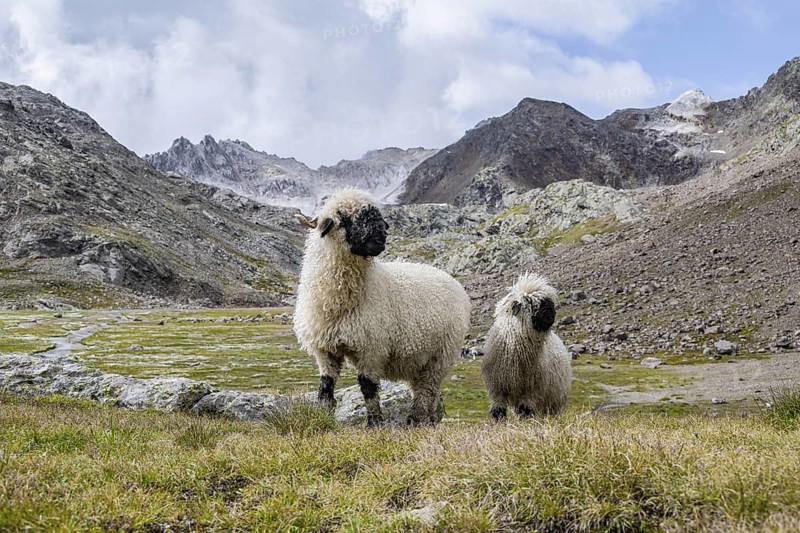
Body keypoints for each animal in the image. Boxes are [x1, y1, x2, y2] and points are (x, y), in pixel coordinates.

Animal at [292, 188, 471, 427]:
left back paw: (415, 420)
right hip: (418, 359)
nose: (381, 237)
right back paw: (426, 420)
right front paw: (324, 416)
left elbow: (368, 388)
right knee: (423, 390)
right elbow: (326, 387)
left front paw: (375, 423)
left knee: (427, 390)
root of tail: (451, 280)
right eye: (345, 218)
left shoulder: (371, 348)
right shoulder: (325, 350)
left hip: (441, 355)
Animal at [481, 273, 572, 420]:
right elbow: (498, 410)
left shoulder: (530, 390)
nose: (551, 314)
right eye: (529, 302)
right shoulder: (497, 388)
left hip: (553, 400)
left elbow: (526, 410)